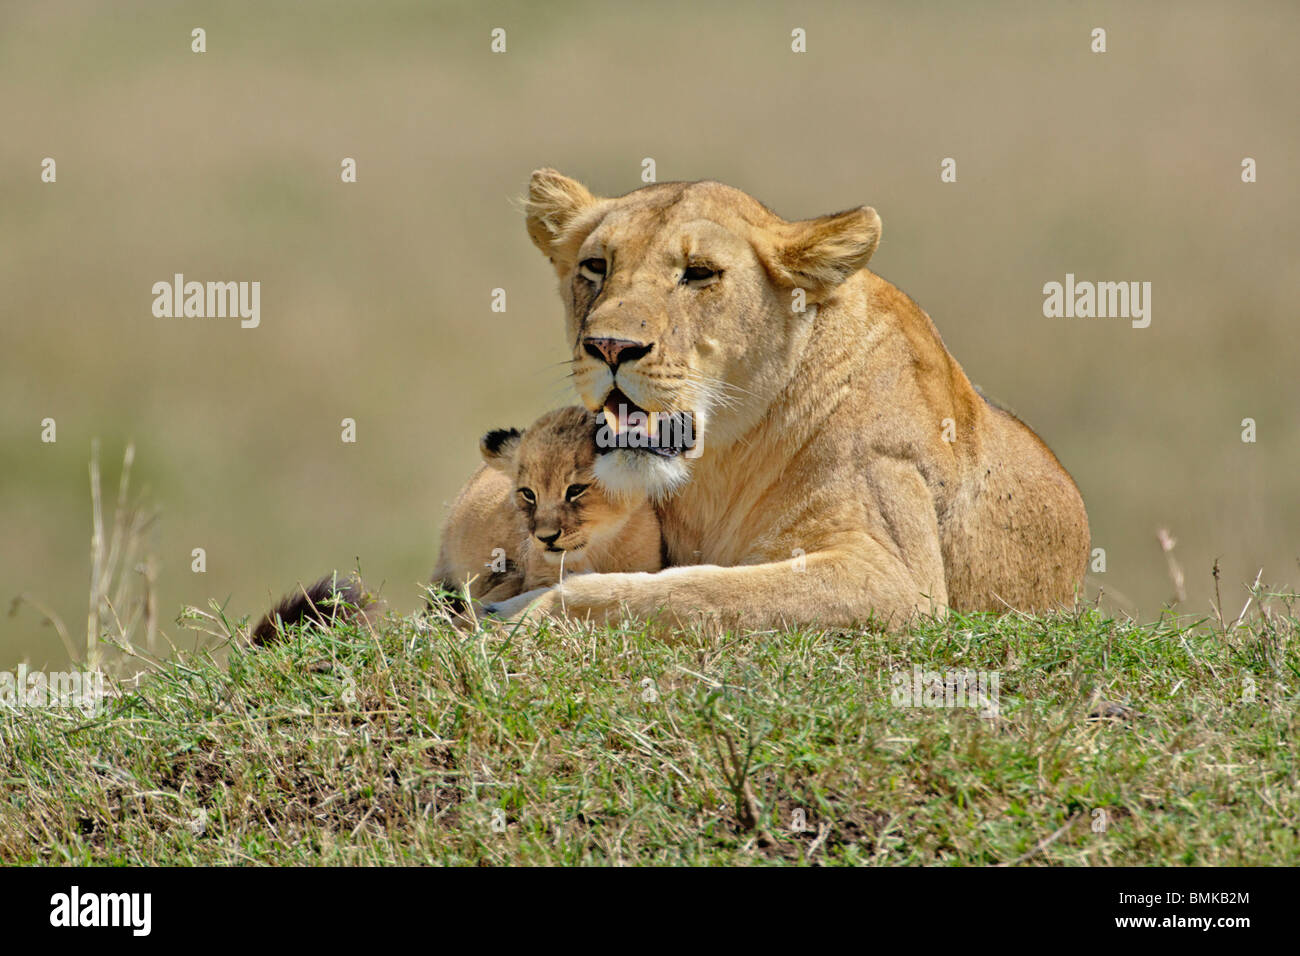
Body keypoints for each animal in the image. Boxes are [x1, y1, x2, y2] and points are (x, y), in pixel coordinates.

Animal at [486, 169, 1090, 628]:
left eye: (699, 274)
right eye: (596, 266)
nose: (610, 346)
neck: (719, 468)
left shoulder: (895, 577)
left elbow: (688, 591)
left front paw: (519, 613)